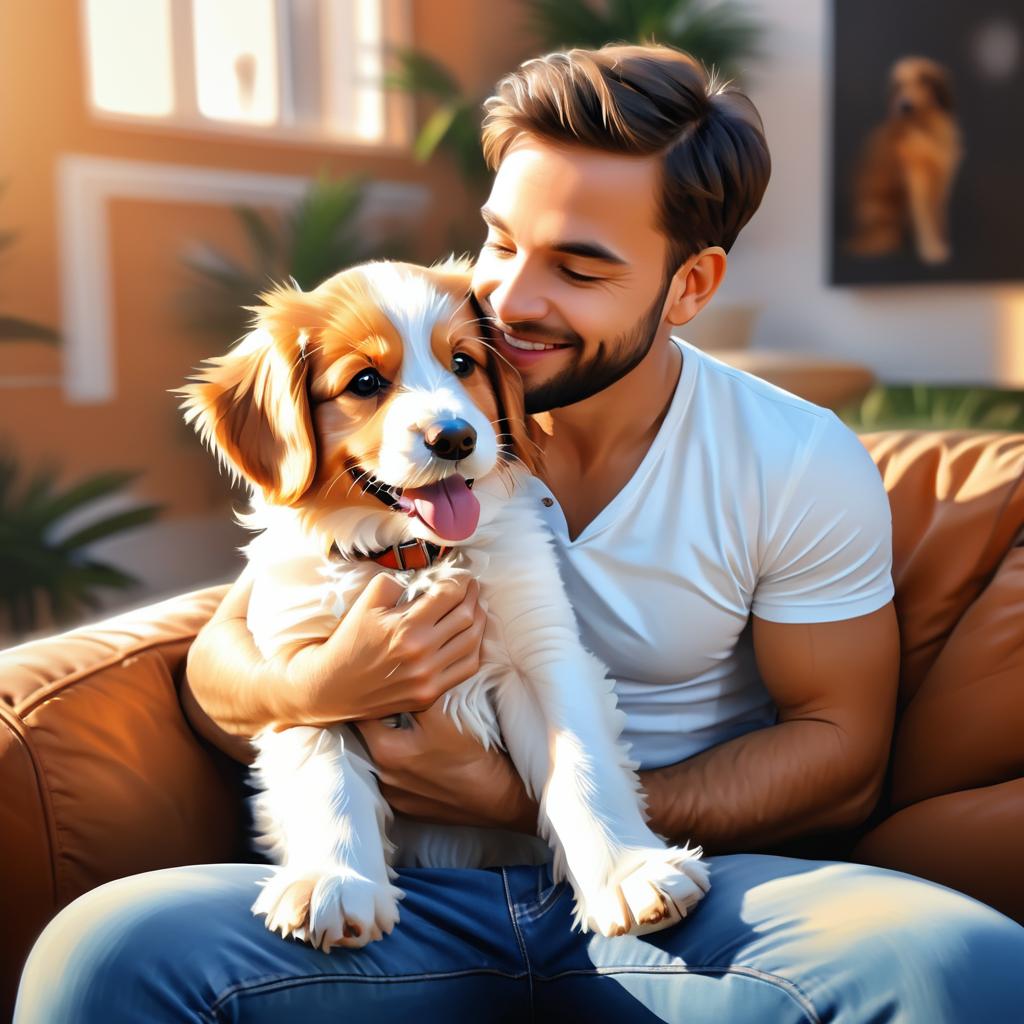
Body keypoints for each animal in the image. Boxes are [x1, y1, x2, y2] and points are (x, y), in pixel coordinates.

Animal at [180, 258, 708, 950]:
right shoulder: (308, 678)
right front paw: (335, 883)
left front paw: (629, 873)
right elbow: (327, 782)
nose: (453, 438)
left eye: (463, 363)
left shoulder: (541, 653)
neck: (412, 559)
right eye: (366, 381)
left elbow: (582, 765)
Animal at [847, 55, 958, 264]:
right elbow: (924, 216)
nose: (904, 106)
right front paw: (931, 249)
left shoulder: (942, 177)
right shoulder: (916, 176)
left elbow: (938, 216)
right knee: (882, 234)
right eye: (898, 85)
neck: (925, 129)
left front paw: (942, 243)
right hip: (879, 208)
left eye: (924, 79)